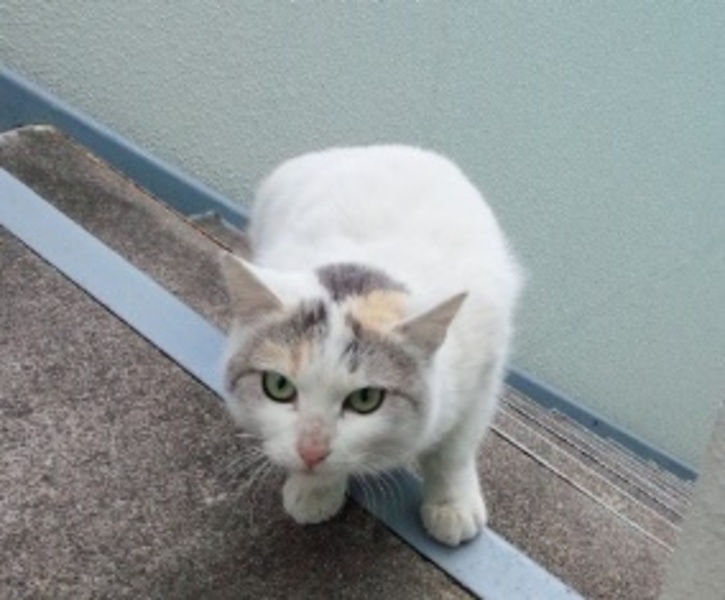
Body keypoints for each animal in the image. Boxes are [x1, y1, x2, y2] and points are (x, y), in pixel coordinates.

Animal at [220, 145, 522, 546]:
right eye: (278, 386)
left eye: (366, 399)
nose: (311, 450)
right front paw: (315, 490)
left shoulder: (484, 372)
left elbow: (454, 451)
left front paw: (452, 504)